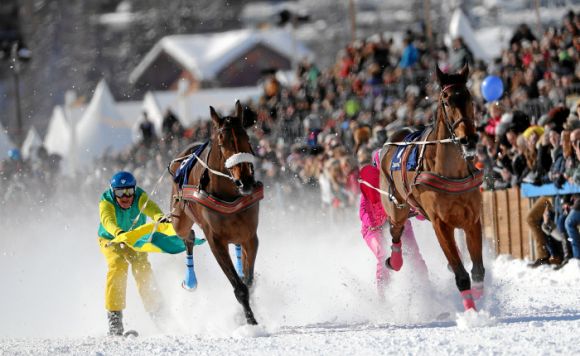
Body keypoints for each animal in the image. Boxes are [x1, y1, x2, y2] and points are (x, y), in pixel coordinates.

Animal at [169, 101, 262, 326]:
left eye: (247, 138)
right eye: (221, 143)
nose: (245, 181)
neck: (230, 194)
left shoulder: (249, 235)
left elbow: (248, 279)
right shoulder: (215, 240)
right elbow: (239, 287)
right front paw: (250, 321)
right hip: (179, 213)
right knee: (187, 236)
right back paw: (190, 279)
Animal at [380, 65, 484, 310]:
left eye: (469, 96)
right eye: (445, 100)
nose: (468, 139)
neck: (451, 172)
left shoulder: (472, 219)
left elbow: (477, 271)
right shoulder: (440, 224)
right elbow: (461, 274)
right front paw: (473, 313)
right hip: (396, 205)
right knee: (396, 231)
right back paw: (395, 260)